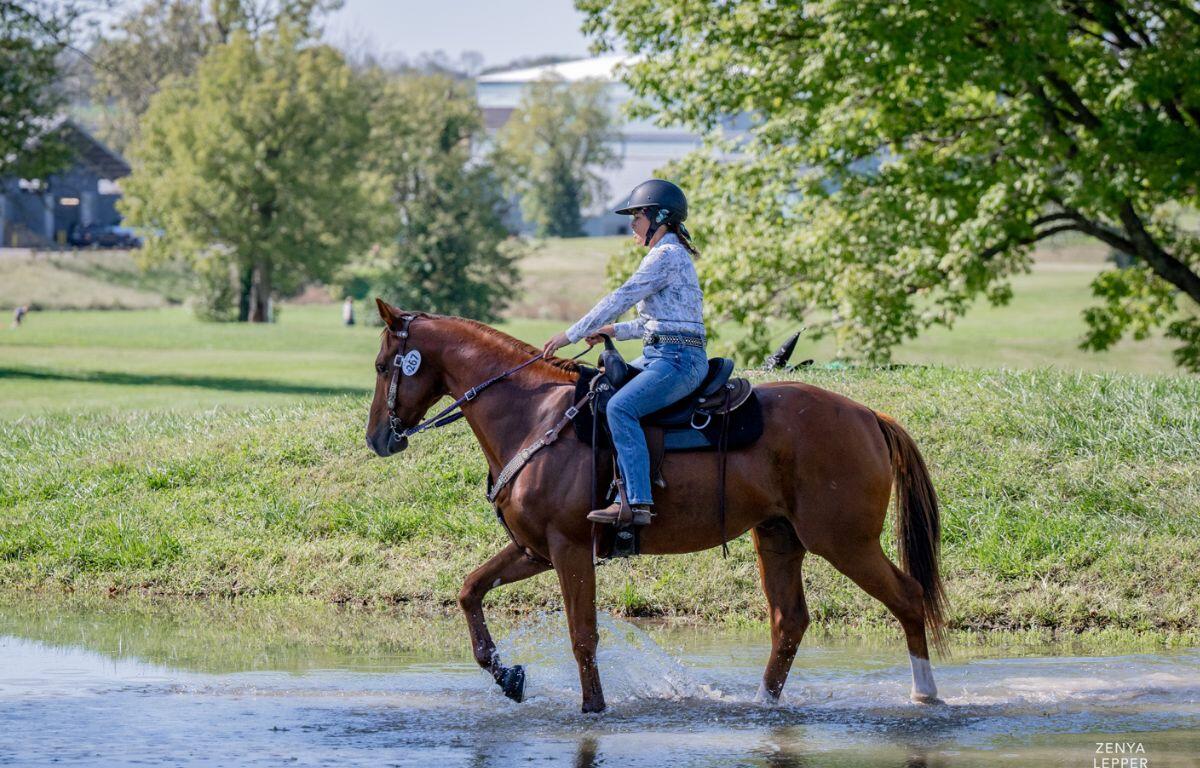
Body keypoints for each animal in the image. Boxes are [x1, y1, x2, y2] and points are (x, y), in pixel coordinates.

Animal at [365, 299, 947, 713]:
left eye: (382, 364)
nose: (377, 439)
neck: (535, 415)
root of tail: (869, 415)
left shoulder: (569, 549)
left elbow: (583, 635)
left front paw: (593, 709)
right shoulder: (533, 551)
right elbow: (470, 591)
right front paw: (507, 675)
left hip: (844, 541)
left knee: (908, 598)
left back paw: (925, 694)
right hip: (779, 538)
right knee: (789, 622)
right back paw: (761, 704)